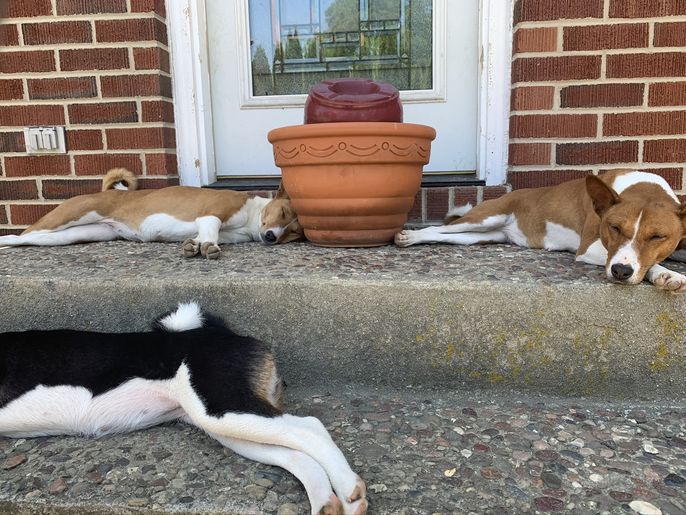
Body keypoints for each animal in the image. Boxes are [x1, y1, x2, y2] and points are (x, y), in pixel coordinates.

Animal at [0, 169, 304, 259]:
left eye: (293, 232)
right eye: (282, 211)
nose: (271, 236)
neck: (252, 217)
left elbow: (201, 237)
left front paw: (196, 245)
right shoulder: (212, 215)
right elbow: (211, 231)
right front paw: (206, 246)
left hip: (74, 235)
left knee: (24, 239)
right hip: (67, 217)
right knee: (20, 234)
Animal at [0, 302, 367, 515]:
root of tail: (218, 332)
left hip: (223, 408)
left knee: (312, 427)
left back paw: (348, 490)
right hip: (227, 425)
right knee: (296, 454)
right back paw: (325, 501)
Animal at [395, 170, 686, 293]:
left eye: (657, 237)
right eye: (613, 228)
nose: (620, 273)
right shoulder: (589, 247)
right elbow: (644, 262)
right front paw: (667, 274)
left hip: (481, 236)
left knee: (450, 236)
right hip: (483, 218)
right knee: (437, 228)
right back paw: (410, 236)